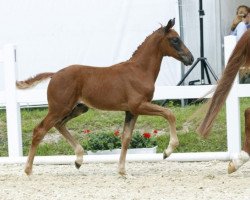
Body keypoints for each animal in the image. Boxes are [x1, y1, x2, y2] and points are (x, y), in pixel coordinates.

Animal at [17, 19, 193, 175]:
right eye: (175, 39)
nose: (190, 58)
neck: (139, 71)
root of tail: (54, 74)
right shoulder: (139, 106)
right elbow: (169, 113)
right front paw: (167, 151)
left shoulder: (131, 111)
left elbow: (126, 138)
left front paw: (122, 171)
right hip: (59, 108)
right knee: (40, 130)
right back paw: (28, 170)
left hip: (78, 108)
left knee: (59, 125)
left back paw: (78, 159)